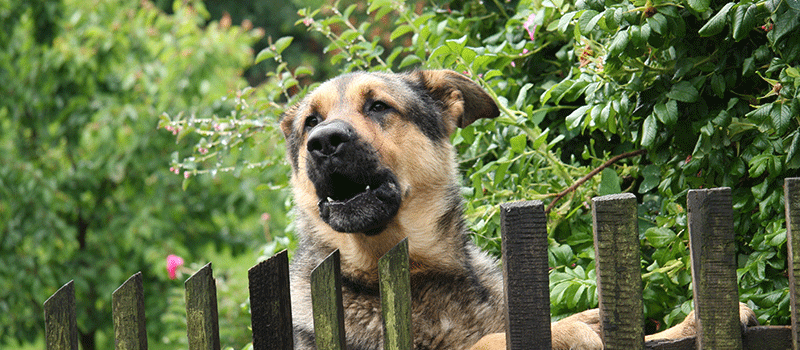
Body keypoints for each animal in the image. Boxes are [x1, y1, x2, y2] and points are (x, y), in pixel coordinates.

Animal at [280, 69, 756, 348]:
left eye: (378, 106)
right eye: (311, 122)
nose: (323, 141)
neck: (420, 271)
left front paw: (688, 325)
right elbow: (489, 342)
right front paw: (569, 329)